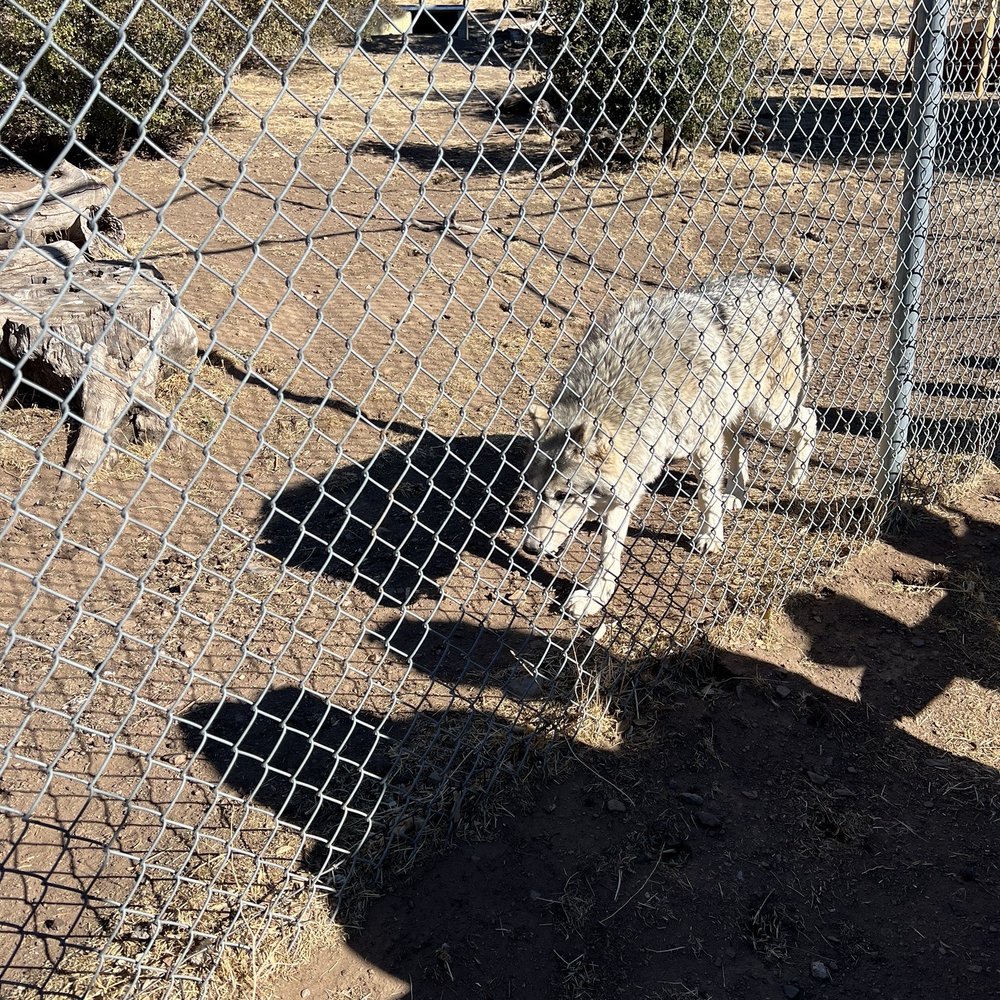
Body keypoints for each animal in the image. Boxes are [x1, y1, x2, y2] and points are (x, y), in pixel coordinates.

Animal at [522, 274, 817, 618]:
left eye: (562, 495)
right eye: (534, 492)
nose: (529, 547)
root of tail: (777, 285)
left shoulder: (702, 443)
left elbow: (706, 497)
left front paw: (710, 537)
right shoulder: (626, 486)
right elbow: (609, 553)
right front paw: (596, 596)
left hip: (770, 412)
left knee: (808, 419)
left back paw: (795, 475)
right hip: (733, 411)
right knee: (739, 443)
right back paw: (737, 494)